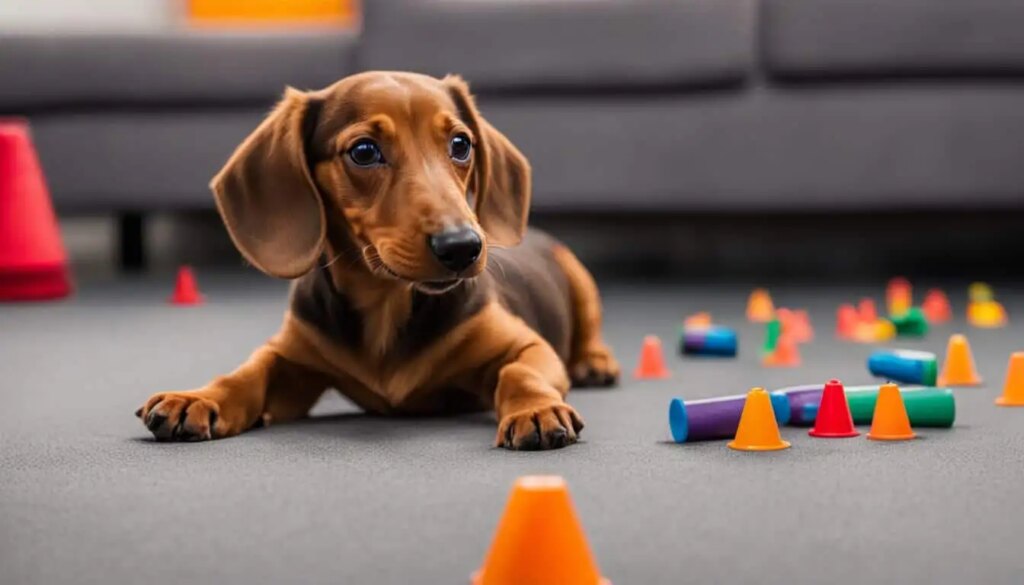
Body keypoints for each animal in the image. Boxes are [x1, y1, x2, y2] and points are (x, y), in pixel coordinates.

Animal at [134, 71, 614, 450]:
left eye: (461, 144)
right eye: (364, 152)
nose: (463, 246)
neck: (386, 303)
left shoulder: (529, 346)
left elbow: (519, 372)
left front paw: (536, 409)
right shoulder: (292, 360)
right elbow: (248, 373)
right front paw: (199, 398)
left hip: (580, 278)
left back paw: (595, 362)